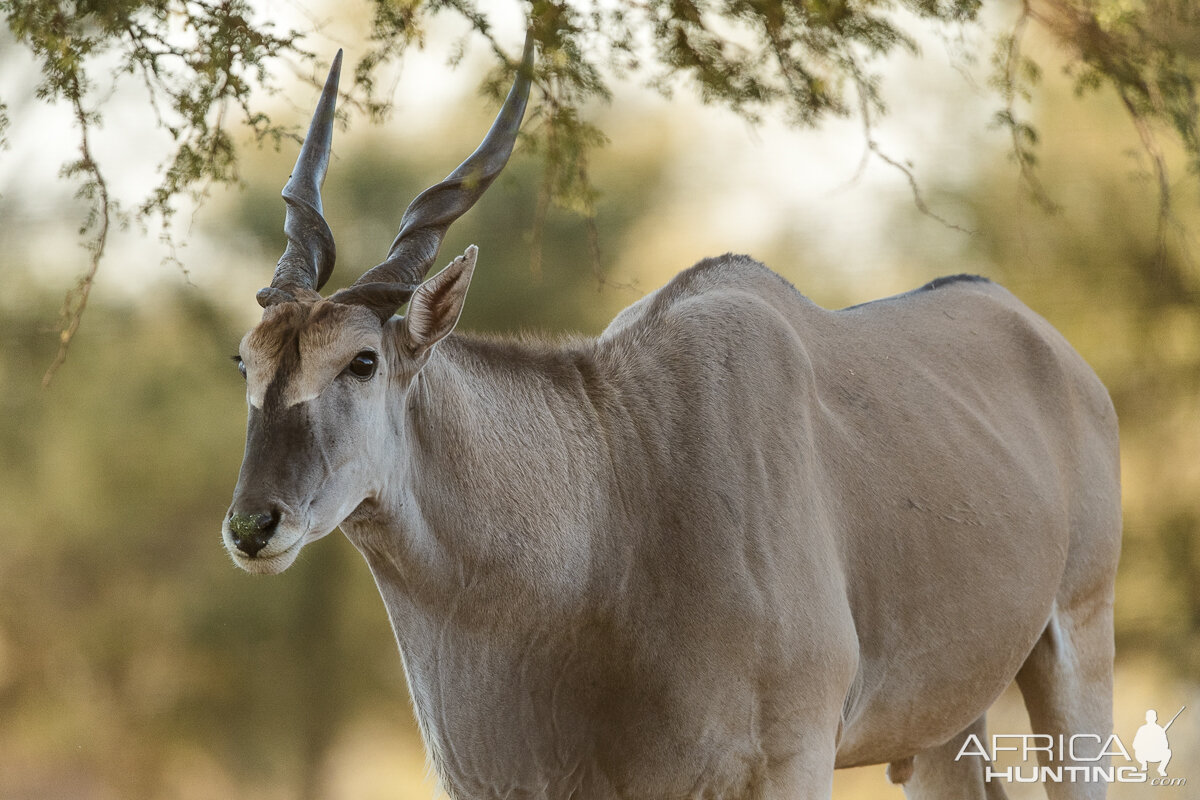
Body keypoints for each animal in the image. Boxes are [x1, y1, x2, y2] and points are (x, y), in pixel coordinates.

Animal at [225, 34, 1123, 800]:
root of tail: (1059, 355)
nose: (252, 527)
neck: (614, 486)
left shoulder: (794, 759)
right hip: (942, 730)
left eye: (362, 361)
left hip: (1076, 654)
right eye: (248, 362)